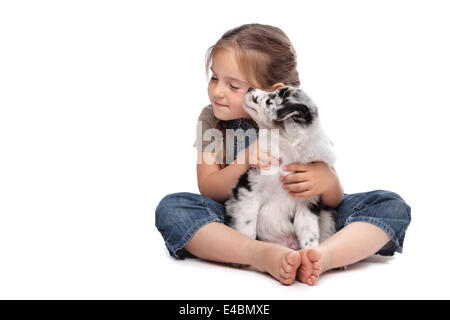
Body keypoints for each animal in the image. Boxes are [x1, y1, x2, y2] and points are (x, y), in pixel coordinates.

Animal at [223, 85, 336, 250]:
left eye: (271, 99)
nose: (249, 88)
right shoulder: (249, 191)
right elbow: (247, 228)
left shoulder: (307, 201)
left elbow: (309, 233)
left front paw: (311, 253)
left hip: (327, 218)